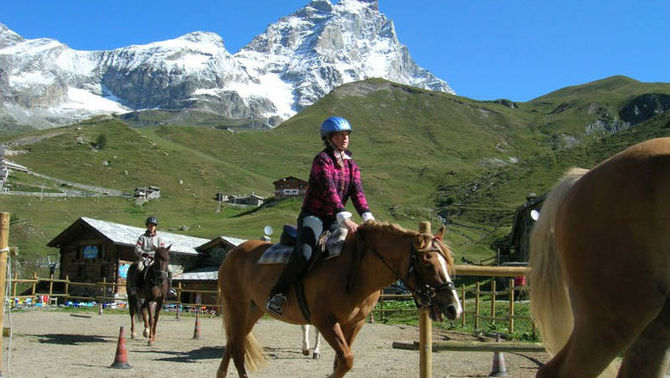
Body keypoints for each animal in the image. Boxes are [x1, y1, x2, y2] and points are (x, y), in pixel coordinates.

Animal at [218, 220, 464, 376]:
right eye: (428, 264)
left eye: (446, 262)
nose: (454, 308)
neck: (356, 270)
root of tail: (233, 253)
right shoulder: (325, 322)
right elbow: (346, 360)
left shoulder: (354, 323)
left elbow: (340, 362)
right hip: (237, 306)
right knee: (237, 349)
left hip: (253, 310)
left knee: (233, 342)